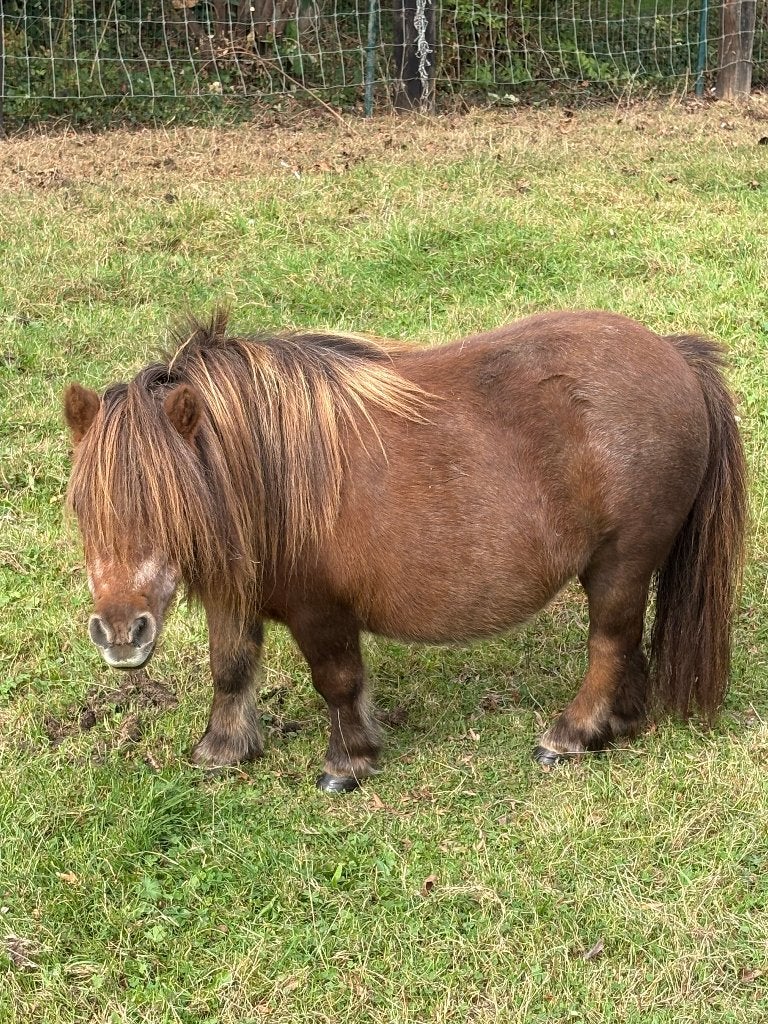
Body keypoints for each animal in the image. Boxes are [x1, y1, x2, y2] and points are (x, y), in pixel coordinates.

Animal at [63, 309, 747, 792]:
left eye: (169, 504)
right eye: (82, 508)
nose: (120, 635)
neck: (270, 473)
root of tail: (676, 358)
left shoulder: (321, 611)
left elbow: (338, 682)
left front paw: (348, 762)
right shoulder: (235, 596)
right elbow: (231, 668)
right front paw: (222, 751)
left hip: (621, 563)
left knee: (609, 642)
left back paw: (572, 735)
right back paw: (619, 725)